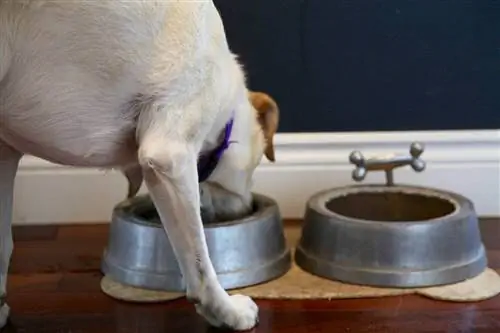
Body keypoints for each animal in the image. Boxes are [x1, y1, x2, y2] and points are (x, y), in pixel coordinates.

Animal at [0, 1, 278, 330]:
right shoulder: (170, 156)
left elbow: (3, 245)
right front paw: (227, 312)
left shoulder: (4, 153)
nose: (248, 207)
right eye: (255, 168)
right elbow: (200, 265)